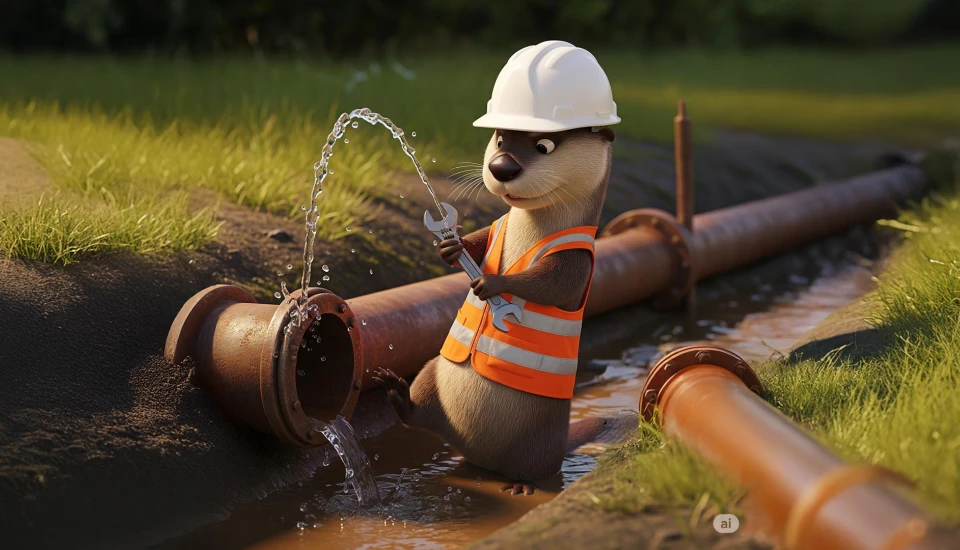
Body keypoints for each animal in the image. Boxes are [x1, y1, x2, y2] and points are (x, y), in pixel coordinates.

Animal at [374, 125, 616, 495]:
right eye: (500, 140)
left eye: (544, 145)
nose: (501, 167)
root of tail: (481, 457)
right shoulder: (494, 226)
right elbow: (478, 241)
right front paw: (451, 245)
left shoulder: (577, 257)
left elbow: (554, 283)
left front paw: (491, 283)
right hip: (431, 375)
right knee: (418, 414)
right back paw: (395, 391)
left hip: (540, 432)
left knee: (534, 464)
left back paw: (522, 484)